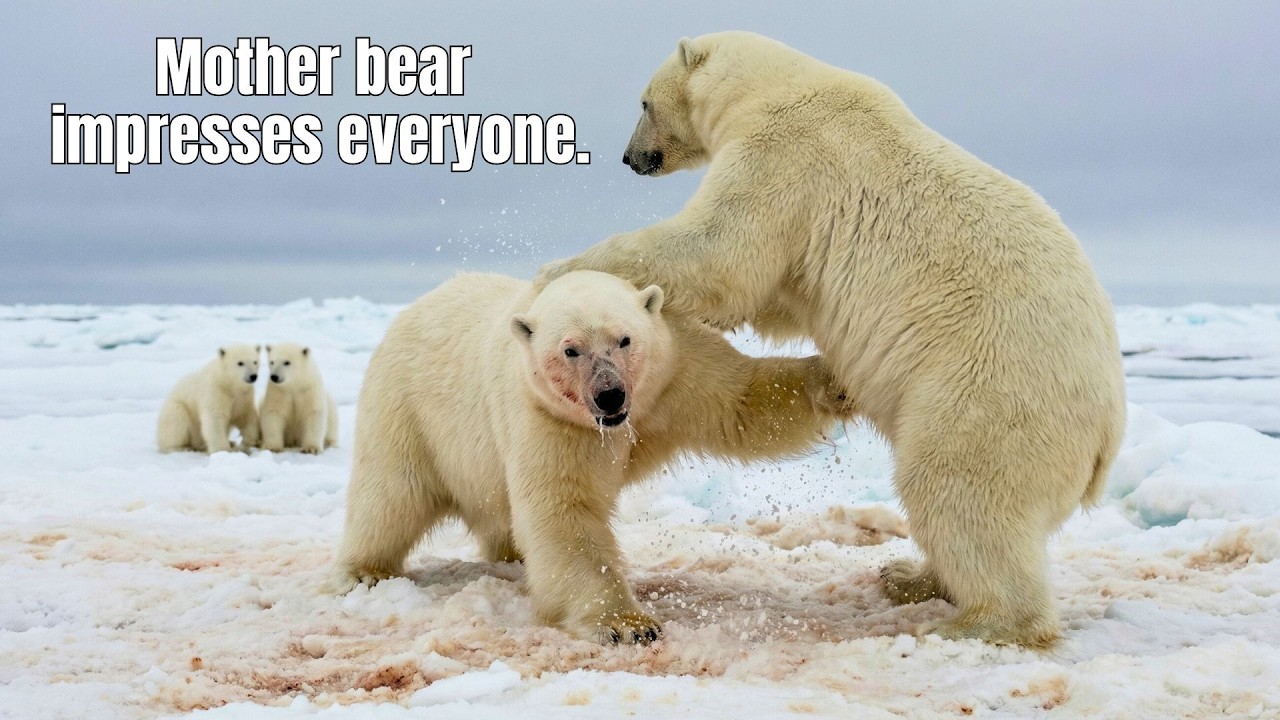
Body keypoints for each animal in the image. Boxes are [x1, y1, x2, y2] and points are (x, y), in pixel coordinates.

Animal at [328, 270, 852, 644]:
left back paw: (512, 554)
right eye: (570, 350)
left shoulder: (675, 369)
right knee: (391, 495)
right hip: (408, 410)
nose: (609, 395)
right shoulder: (547, 416)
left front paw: (834, 383)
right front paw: (627, 624)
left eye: (624, 339)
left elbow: (743, 402)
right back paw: (366, 570)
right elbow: (564, 507)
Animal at [537, 31, 1127, 648]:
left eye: (644, 103)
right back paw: (909, 576)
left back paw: (971, 621)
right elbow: (773, 295)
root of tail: (1105, 436)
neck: (771, 86)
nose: (631, 158)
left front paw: (561, 268)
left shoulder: (784, 155)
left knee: (955, 488)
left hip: (991, 396)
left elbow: (719, 251)